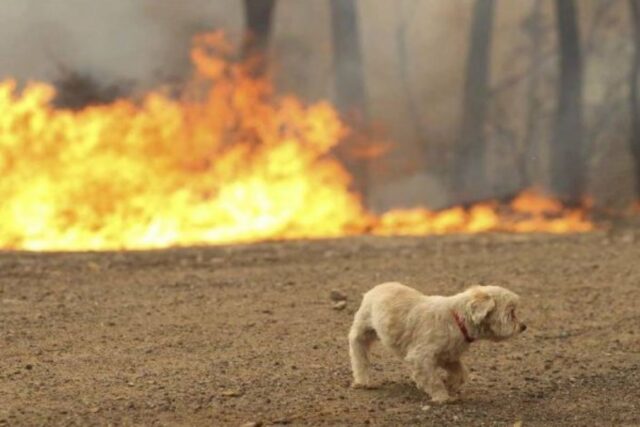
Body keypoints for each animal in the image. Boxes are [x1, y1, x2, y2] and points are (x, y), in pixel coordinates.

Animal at [350, 282, 524, 402]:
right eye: (511, 313)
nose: (524, 326)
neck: (457, 319)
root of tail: (376, 288)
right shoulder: (421, 356)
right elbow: (433, 379)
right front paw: (442, 396)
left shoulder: (448, 356)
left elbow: (461, 372)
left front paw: (451, 384)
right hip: (363, 330)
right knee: (358, 351)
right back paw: (363, 380)